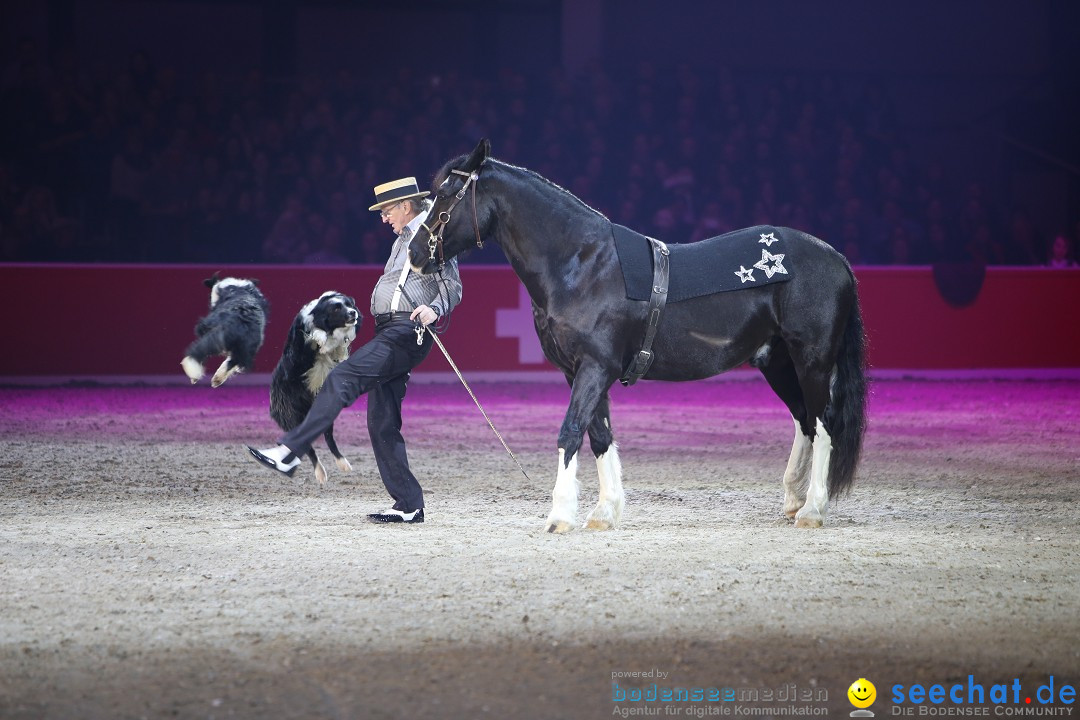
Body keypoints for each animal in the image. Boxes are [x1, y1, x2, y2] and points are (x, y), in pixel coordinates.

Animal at [268, 289, 358, 483]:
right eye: (336, 308)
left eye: (349, 304)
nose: (353, 313)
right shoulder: (300, 354)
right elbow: (314, 337)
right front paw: (320, 339)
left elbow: (338, 347)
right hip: (293, 418)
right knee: (307, 446)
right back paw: (320, 473)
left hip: (325, 414)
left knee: (328, 438)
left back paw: (343, 464)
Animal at [408, 140, 864, 533]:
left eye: (447, 195)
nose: (413, 254)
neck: (582, 264)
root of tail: (835, 256)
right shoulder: (578, 371)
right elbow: (599, 435)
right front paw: (605, 512)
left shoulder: (595, 367)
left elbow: (571, 431)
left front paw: (560, 516)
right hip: (777, 362)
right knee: (804, 421)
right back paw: (793, 501)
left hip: (812, 361)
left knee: (823, 423)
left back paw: (812, 509)